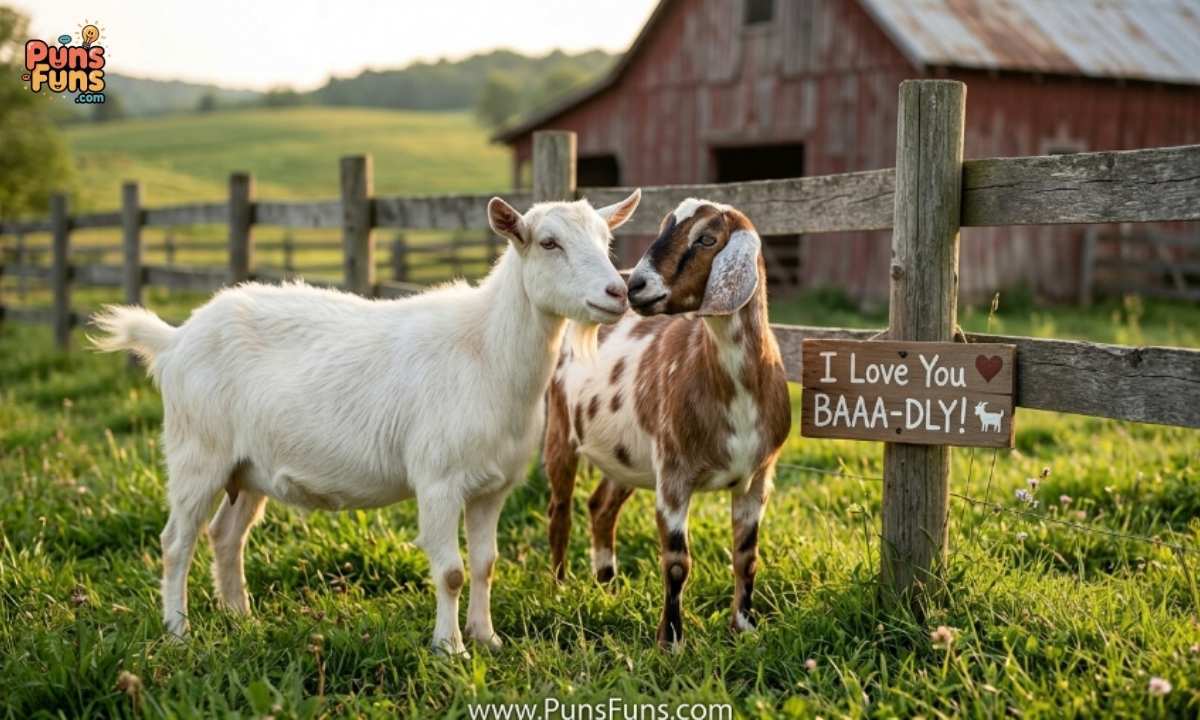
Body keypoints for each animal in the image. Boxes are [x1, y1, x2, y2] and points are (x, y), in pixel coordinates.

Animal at [90, 189, 641, 654]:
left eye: (606, 239)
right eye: (549, 242)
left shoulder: (492, 487)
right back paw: (178, 631)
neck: (484, 350)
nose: (618, 291)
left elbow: (485, 565)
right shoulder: (438, 481)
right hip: (197, 454)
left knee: (225, 535)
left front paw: (487, 639)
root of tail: (175, 339)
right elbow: (452, 572)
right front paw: (451, 649)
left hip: (246, 468)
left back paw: (240, 618)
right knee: (175, 542)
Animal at [544, 198, 791, 647]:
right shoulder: (674, 473)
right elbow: (677, 562)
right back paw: (558, 585)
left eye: (706, 239)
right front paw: (671, 640)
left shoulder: (758, 478)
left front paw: (744, 626)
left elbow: (747, 557)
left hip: (628, 455)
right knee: (560, 510)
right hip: (559, 429)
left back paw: (607, 583)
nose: (634, 287)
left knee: (601, 506)